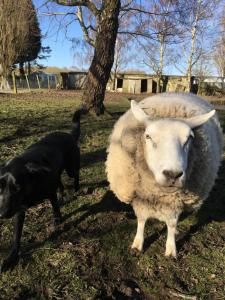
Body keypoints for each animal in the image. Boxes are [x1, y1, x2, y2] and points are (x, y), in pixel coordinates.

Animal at [0, 110, 81, 272]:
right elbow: (16, 236)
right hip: (57, 172)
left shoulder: (49, 193)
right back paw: (63, 197)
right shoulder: (19, 211)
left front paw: (57, 220)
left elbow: (55, 208)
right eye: (0, 187)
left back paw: (76, 187)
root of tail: (69, 135)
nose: (2, 214)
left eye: (17, 188)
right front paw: (11, 258)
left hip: (70, 168)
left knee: (75, 174)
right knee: (60, 185)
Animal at [105, 92, 223, 256]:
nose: (173, 174)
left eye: (190, 138)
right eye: (148, 136)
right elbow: (141, 220)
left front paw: (171, 250)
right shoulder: (140, 196)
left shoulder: (175, 201)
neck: (159, 194)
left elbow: (172, 224)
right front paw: (137, 244)